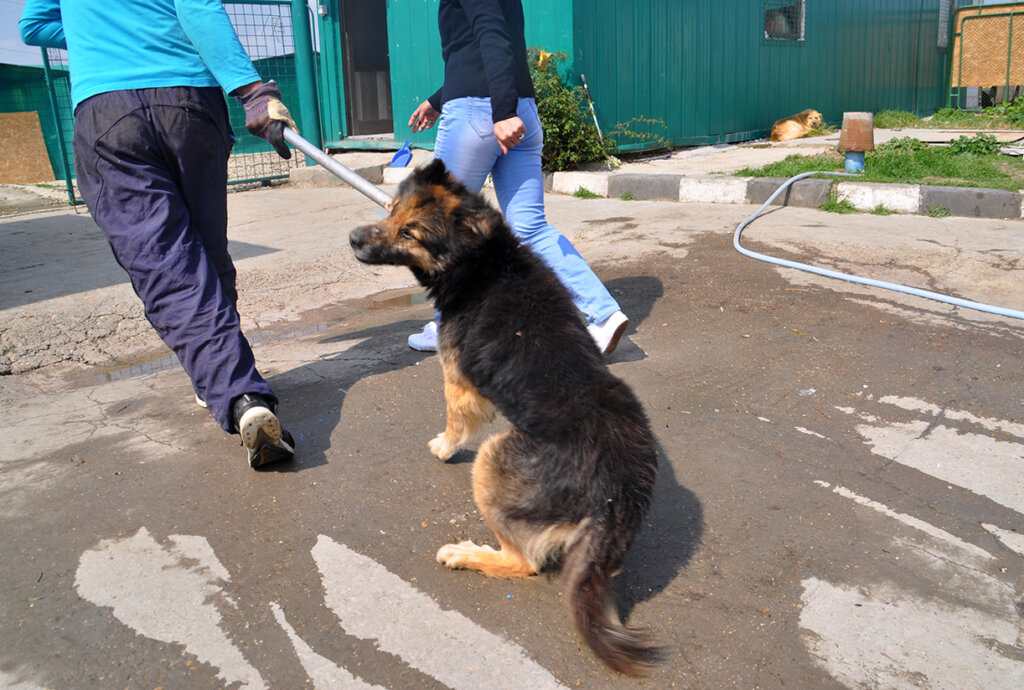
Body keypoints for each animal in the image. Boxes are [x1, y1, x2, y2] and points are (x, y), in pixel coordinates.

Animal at [348, 159, 659, 671]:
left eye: (410, 232)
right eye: (391, 209)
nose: (353, 238)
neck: (486, 263)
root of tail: (617, 491)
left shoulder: (459, 382)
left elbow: (455, 421)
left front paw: (442, 446)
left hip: (493, 459)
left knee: (524, 563)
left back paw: (466, 554)